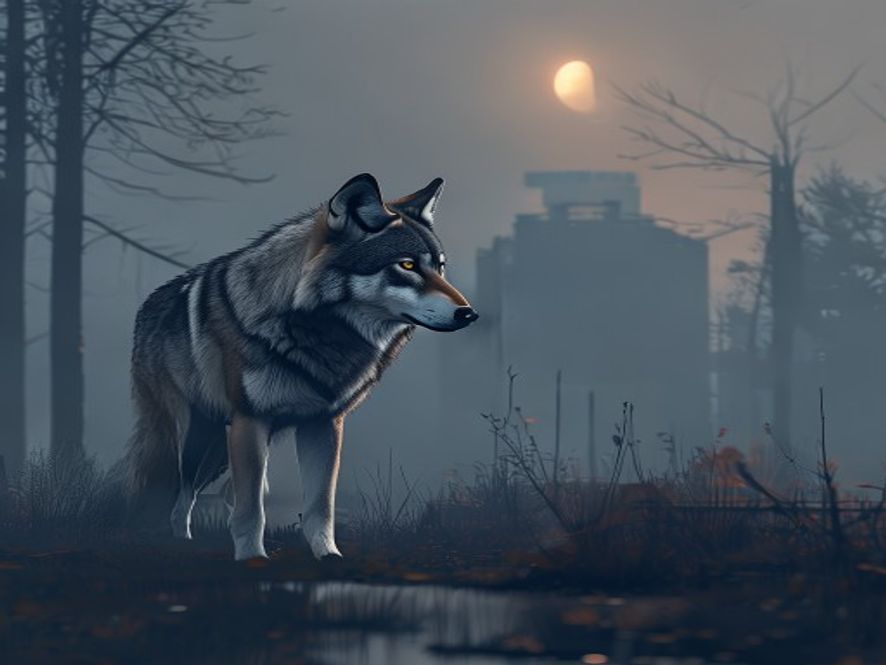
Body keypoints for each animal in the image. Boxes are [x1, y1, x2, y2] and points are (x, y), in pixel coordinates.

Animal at [125, 173, 477, 560]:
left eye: (440, 267)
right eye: (408, 265)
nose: (469, 314)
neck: (319, 336)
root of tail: (146, 306)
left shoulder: (324, 424)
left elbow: (319, 505)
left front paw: (328, 556)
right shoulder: (250, 421)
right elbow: (252, 510)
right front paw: (252, 560)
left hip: (219, 449)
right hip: (195, 439)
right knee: (178, 492)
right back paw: (175, 542)